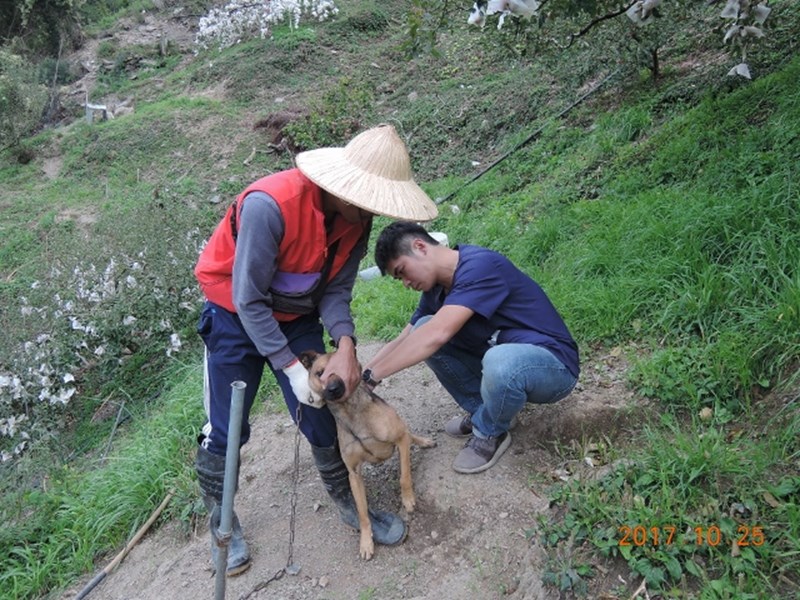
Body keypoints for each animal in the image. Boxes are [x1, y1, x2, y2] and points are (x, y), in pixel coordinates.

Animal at [300, 350, 438, 560]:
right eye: (320, 372)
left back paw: (424, 441)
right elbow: (363, 513)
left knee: (409, 435)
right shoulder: (354, 474)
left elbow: (404, 477)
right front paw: (366, 541)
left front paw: (408, 499)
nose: (333, 388)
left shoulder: (400, 439)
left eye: (342, 367)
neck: (350, 411)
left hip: (403, 430)